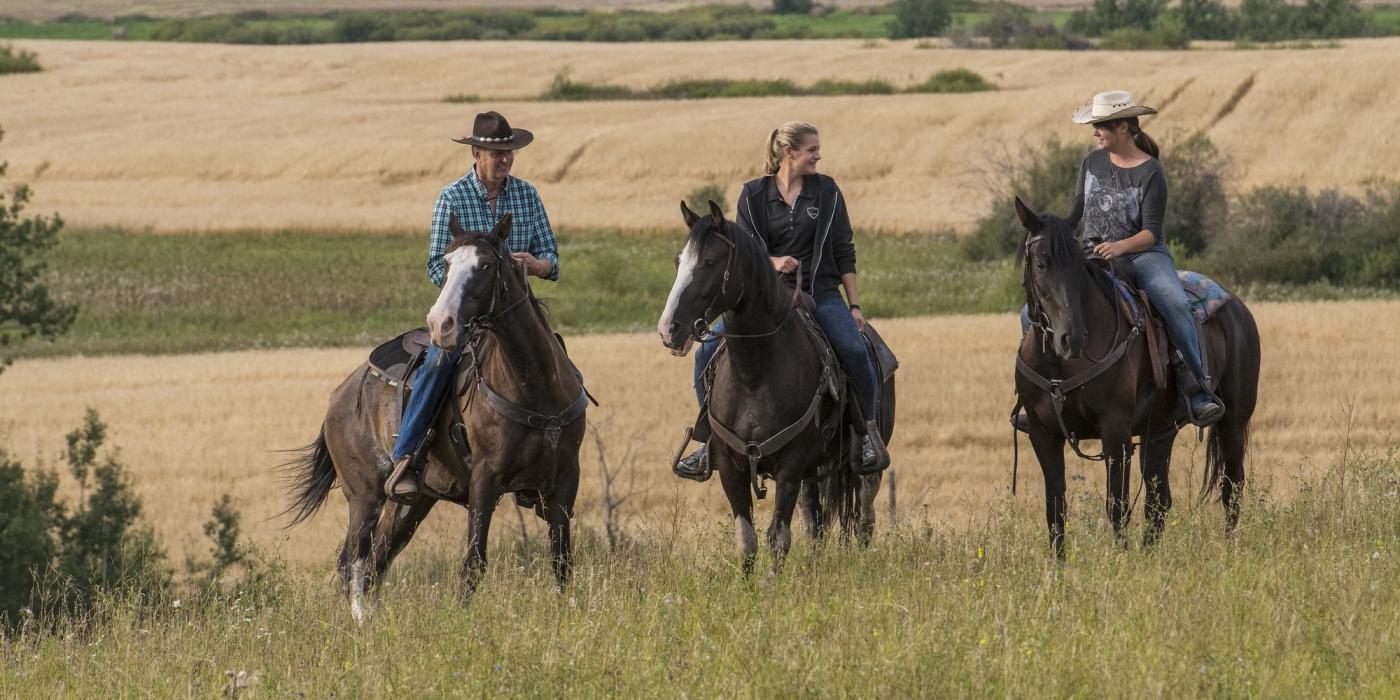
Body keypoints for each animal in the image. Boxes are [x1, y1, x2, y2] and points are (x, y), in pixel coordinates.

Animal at [282, 214, 587, 622]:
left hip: (412, 504)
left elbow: (562, 560)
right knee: (354, 562)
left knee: (377, 562)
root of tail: (338, 398)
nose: (441, 323)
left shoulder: (566, 478)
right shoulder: (484, 481)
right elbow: (473, 563)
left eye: (485, 266)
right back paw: (362, 625)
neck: (534, 384)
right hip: (364, 495)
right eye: (445, 264)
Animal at [1013, 198, 1260, 557]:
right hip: (1160, 430)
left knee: (1232, 487)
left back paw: (1230, 550)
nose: (1072, 339)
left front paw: (1120, 561)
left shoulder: (1115, 431)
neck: (1061, 365)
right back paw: (1150, 555)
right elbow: (1055, 510)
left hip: (1233, 422)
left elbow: (1117, 504)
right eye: (1042, 264)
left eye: (1078, 267)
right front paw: (1059, 568)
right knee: (1159, 501)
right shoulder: (1042, 434)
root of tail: (1237, 306)